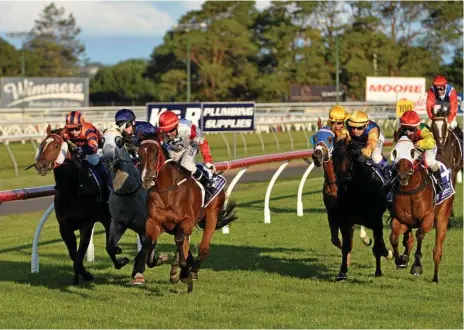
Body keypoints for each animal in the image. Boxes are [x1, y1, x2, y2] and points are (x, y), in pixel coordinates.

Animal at [33, 125, 129, 284]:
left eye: (56, 145)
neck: (72, 190)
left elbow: (83, 251)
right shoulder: (64, 227)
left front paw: (85, 274)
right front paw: (81, 275)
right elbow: (75, 255)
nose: (40, 165)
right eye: (42, 145)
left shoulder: (87, 224)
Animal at [133, 139, 236, 292]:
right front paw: (155, 261)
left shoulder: (186, 222)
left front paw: (182, 266)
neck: (166, 193)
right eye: (139, 154)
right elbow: (148, 244)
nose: (146, 178)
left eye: (156, 153)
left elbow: (179, 239)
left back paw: (190, 270)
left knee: (204, 248)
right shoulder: (154, 223)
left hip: (212, 215)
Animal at [332, 138, 394, 280]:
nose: (342, 179)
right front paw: (342, 272)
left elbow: (378, 248)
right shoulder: (346, 221)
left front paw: (379, 269)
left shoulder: (376, 222)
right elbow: (346, 247)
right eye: (333, 157)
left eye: (349, 156)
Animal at [388, 135, 454, 282]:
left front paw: (416, 266)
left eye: (412, 152)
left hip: (442, 216)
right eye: (394, 152)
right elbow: (394, 237)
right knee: (409, 240)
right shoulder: (401, 220)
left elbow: (419, 235)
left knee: (437, 250)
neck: (410, 191)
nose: (403, 176)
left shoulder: (428, 218)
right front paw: (400, 260)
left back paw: (435, 278)